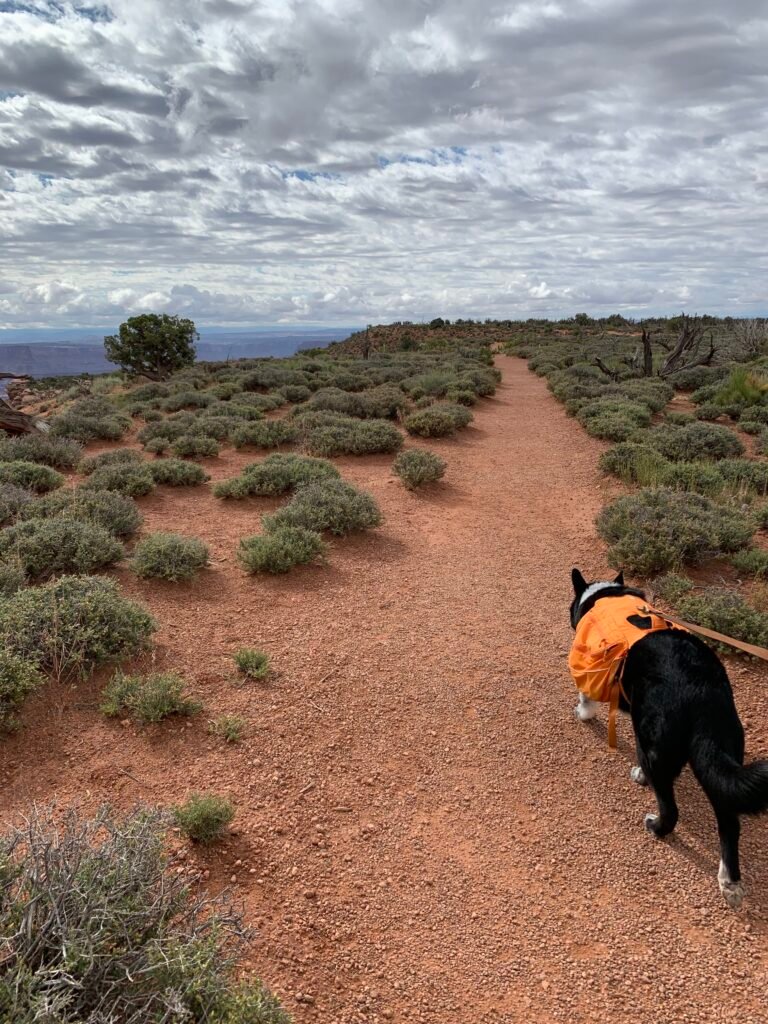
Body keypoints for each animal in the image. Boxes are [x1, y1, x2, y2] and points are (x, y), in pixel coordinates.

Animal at [573, 569, 768, 913]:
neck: (606, 596)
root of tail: (701, 692)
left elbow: (585, 699)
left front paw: (582, 713)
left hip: (655, 747)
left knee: (671, 808)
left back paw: (656, 824)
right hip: (719, 754)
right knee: (729, 821)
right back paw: (729, 882)